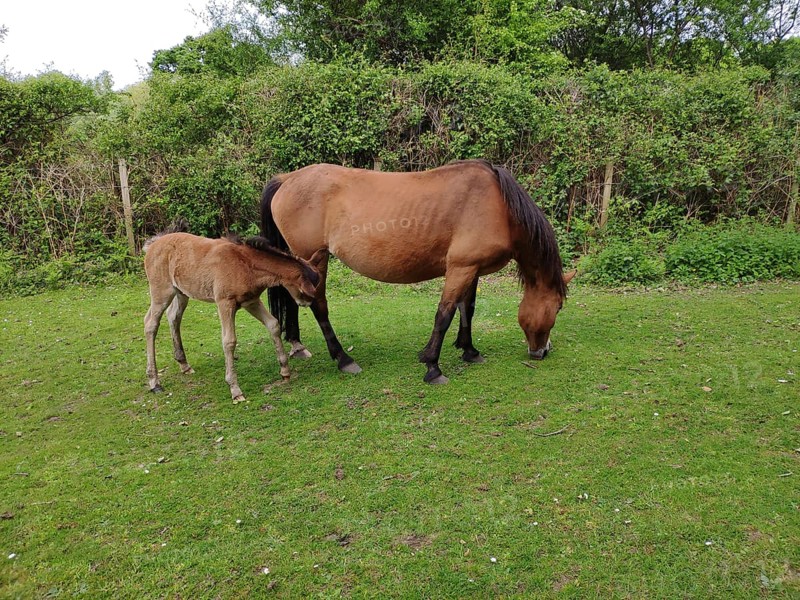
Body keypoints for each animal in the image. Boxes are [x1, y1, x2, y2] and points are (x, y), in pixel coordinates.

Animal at [143, 231, 326, 402]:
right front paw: (235, 389)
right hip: (161, 292)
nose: (306, 303)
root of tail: (151, 245)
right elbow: (229, 341)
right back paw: (154, 382)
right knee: (150, 323)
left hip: (181, 292)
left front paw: (285, 371)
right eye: (307, 291)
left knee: (173, 316)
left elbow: (273, 324)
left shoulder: (251, 301)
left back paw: (184, 365)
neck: (246, 265)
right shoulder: (225, 303)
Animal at [260, 159, 575, 384]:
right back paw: (342, 359)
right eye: (558, 307)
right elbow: (444, 314)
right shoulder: (460, 268)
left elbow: (467, 309)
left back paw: (298, 346)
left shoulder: (472, 269)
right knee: (318, 305)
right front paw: (433, 367)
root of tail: (287, 179)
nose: (542, 351)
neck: (498, 206)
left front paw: (469, 351)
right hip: (314, 260)